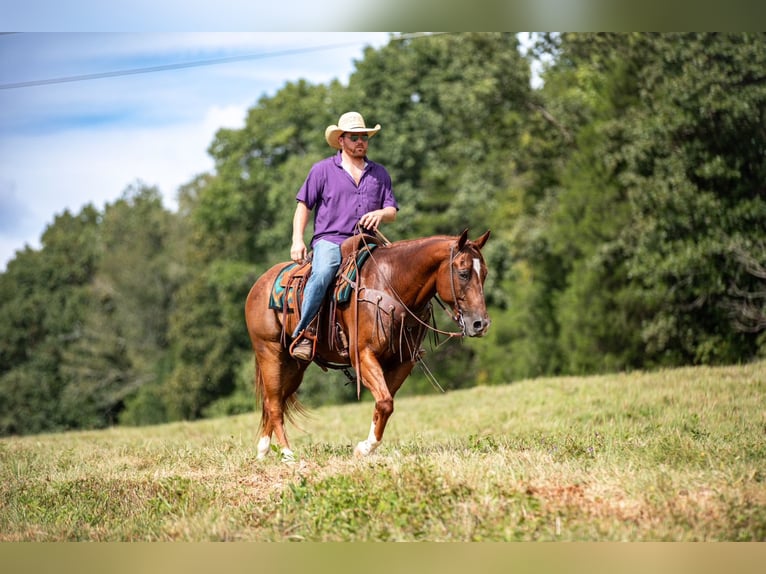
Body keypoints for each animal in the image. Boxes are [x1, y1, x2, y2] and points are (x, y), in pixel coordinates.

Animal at [244, 229, 491, 461]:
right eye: (463, 273)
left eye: (485, 274)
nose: (480, 324)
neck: (391, 284)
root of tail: (258, 285)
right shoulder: (363, 355)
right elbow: (385, 402)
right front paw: (365, 447)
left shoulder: (403, 362)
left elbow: (383, 403)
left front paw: (366, 447)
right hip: (269, 352)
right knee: (274, 404)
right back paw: (287, 454)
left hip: (295, 366)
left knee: (275, 399)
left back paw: (263, 451)